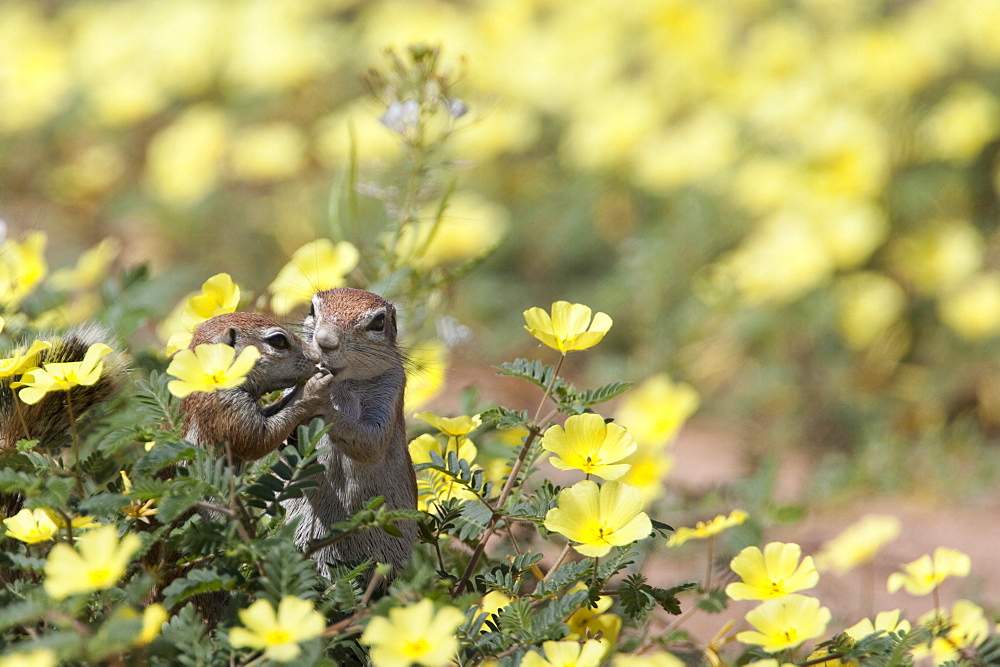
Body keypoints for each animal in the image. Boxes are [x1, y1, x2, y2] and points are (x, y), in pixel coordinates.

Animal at [282, 288, 418, 580]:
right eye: (312, 309)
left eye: (378, 322)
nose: (325, 341)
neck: (341, 383)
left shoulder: (391, 388)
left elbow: (371, 443)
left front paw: (317, 397)